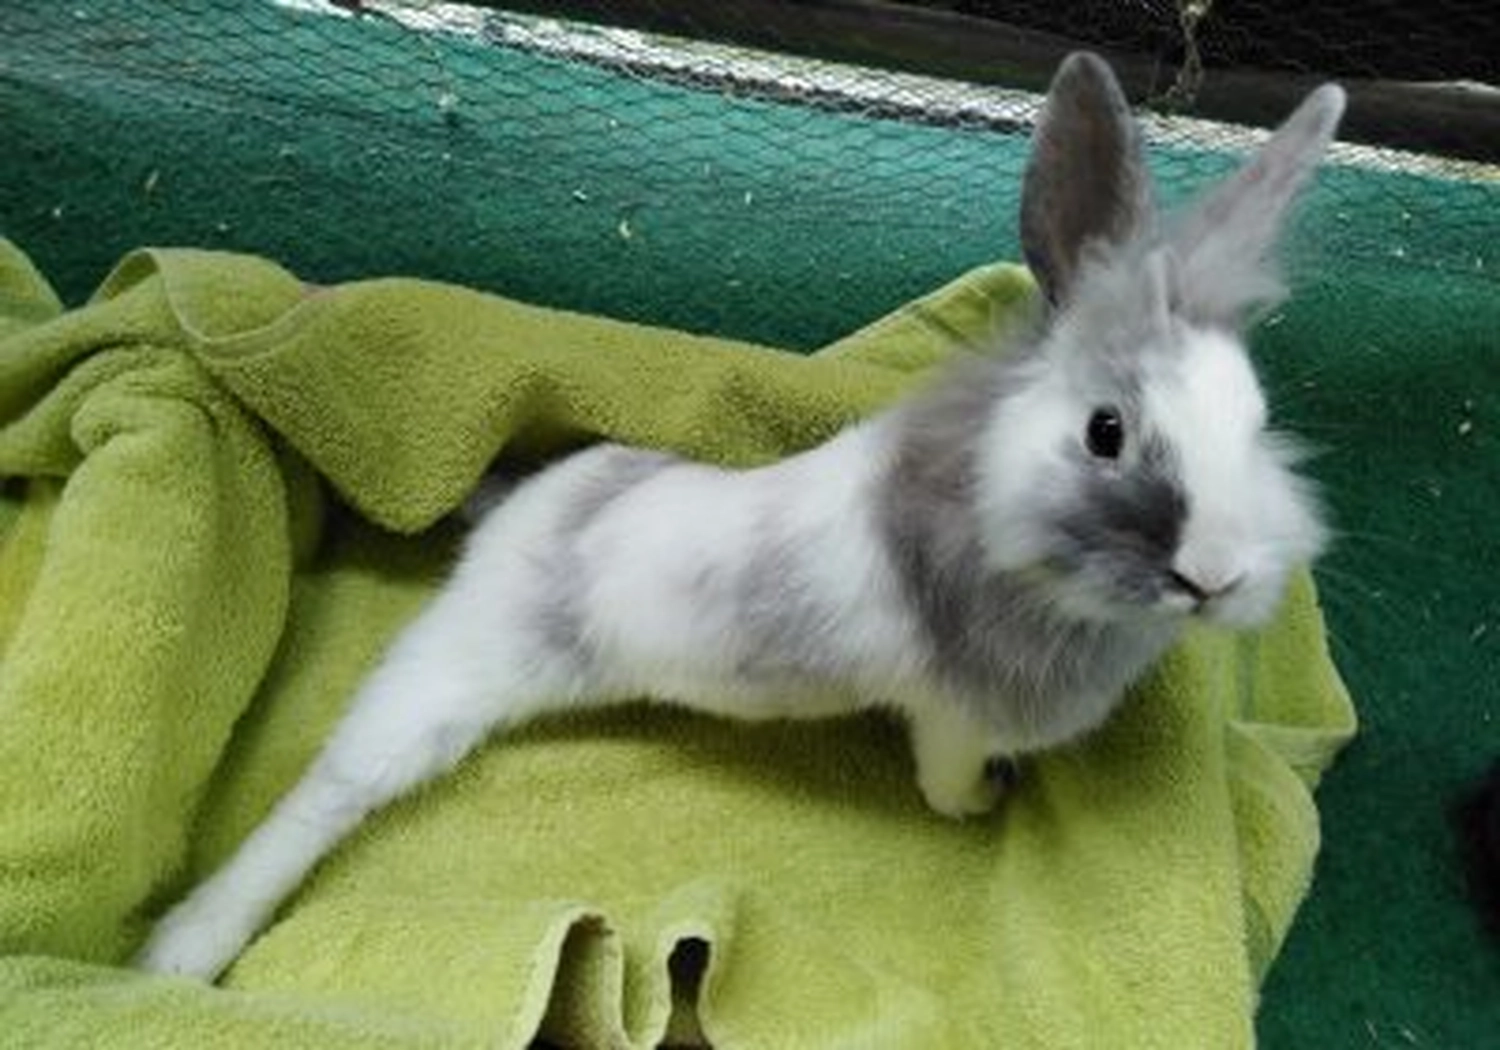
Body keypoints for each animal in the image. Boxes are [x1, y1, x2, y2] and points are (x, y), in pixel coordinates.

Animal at [137, 52, 1346, 981]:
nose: (1218, 576)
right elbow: (945, 776)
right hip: (446, 679)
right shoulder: (946, 717)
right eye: (1106, 432)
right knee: (331, 790)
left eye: (1257, 420)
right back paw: (180, 952)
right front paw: (980, 810)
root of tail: (526, 512)